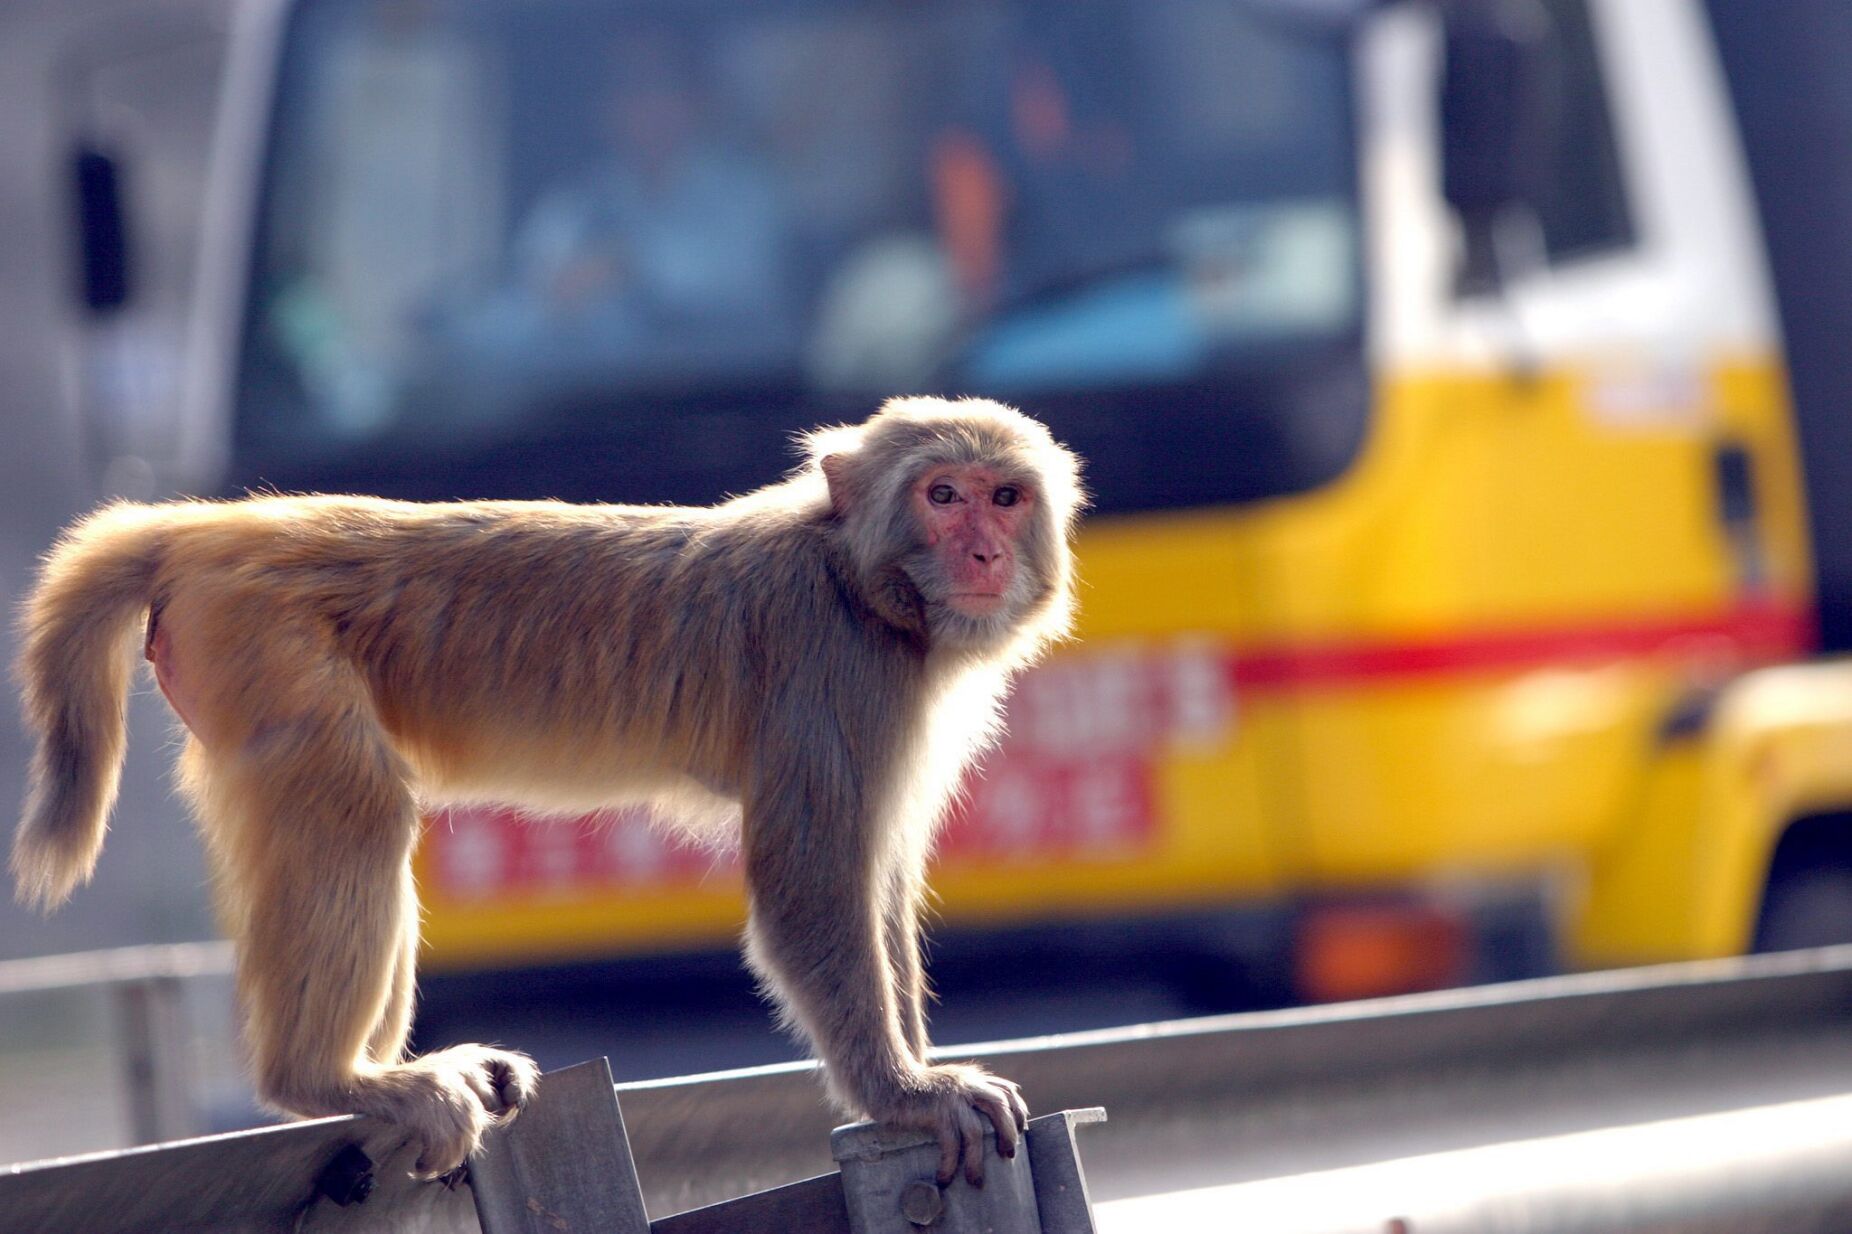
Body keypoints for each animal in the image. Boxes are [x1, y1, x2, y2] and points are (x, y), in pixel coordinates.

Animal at [10, 394, 1081, 1185]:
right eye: (942, 494)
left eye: (1005, 496)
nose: (984, 554)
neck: (861, 583)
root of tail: (211, 527)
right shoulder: (837, 669)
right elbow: (811, 889)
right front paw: (907, 1094)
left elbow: (878, 879)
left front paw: (917, 1070)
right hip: (268, 645)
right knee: (356, 807)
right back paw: (328, 1079)